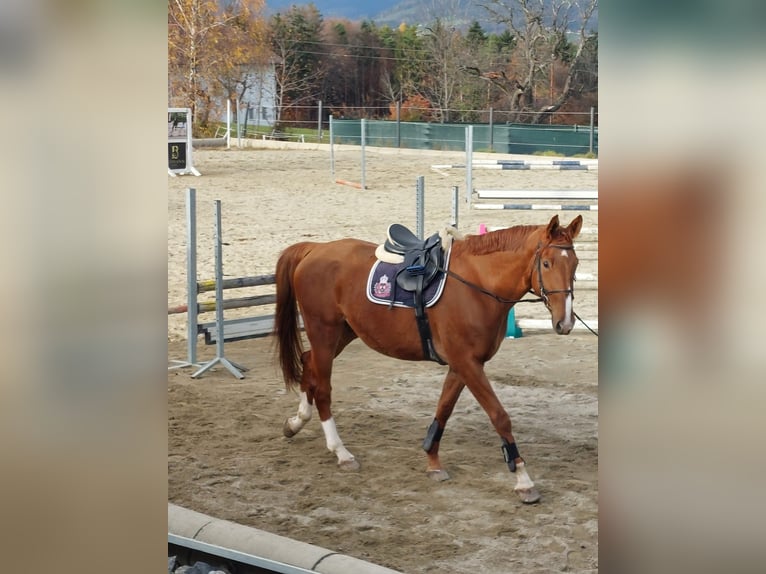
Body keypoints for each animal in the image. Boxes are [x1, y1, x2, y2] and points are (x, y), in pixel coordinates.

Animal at [274, 214, 583, 504]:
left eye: (575, 265)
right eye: (546, 264)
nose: (565, 323)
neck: (477, 284)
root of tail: (315, 249)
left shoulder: (462, 366)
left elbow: (443, 410)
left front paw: (433, 462)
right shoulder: (467, 364)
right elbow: (500, 416)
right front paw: (523, 479)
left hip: (343, 333)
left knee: (308, 362)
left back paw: (296, 422)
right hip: (324, 332)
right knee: (323, 387)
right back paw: (341, 452)